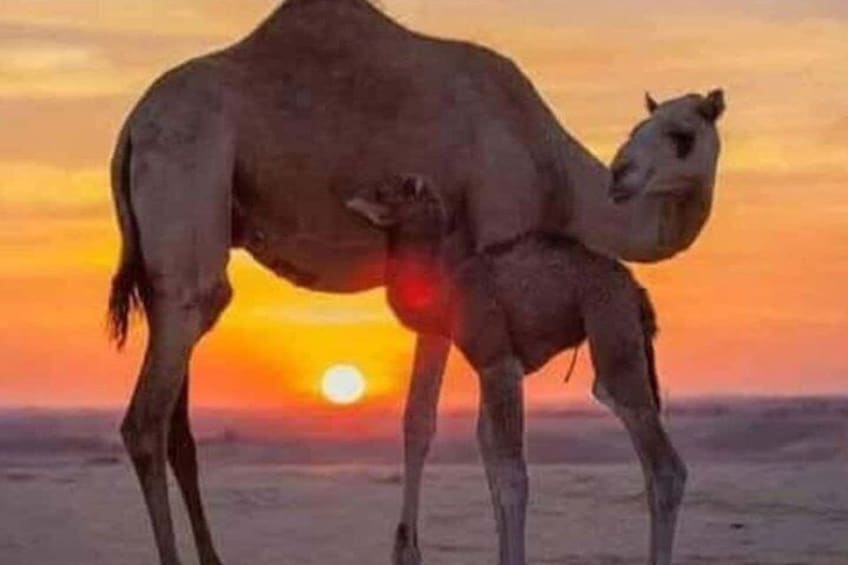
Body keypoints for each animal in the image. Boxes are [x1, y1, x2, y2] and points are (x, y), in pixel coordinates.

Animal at [346, 173, 683, 565]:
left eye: (384, 191)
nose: (352, 200)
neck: (448, 292)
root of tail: (636, 289)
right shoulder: (495, 368)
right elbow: (492, 460)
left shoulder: (498, 362)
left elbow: (511, 477)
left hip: (610, 316)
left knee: (661, 462)